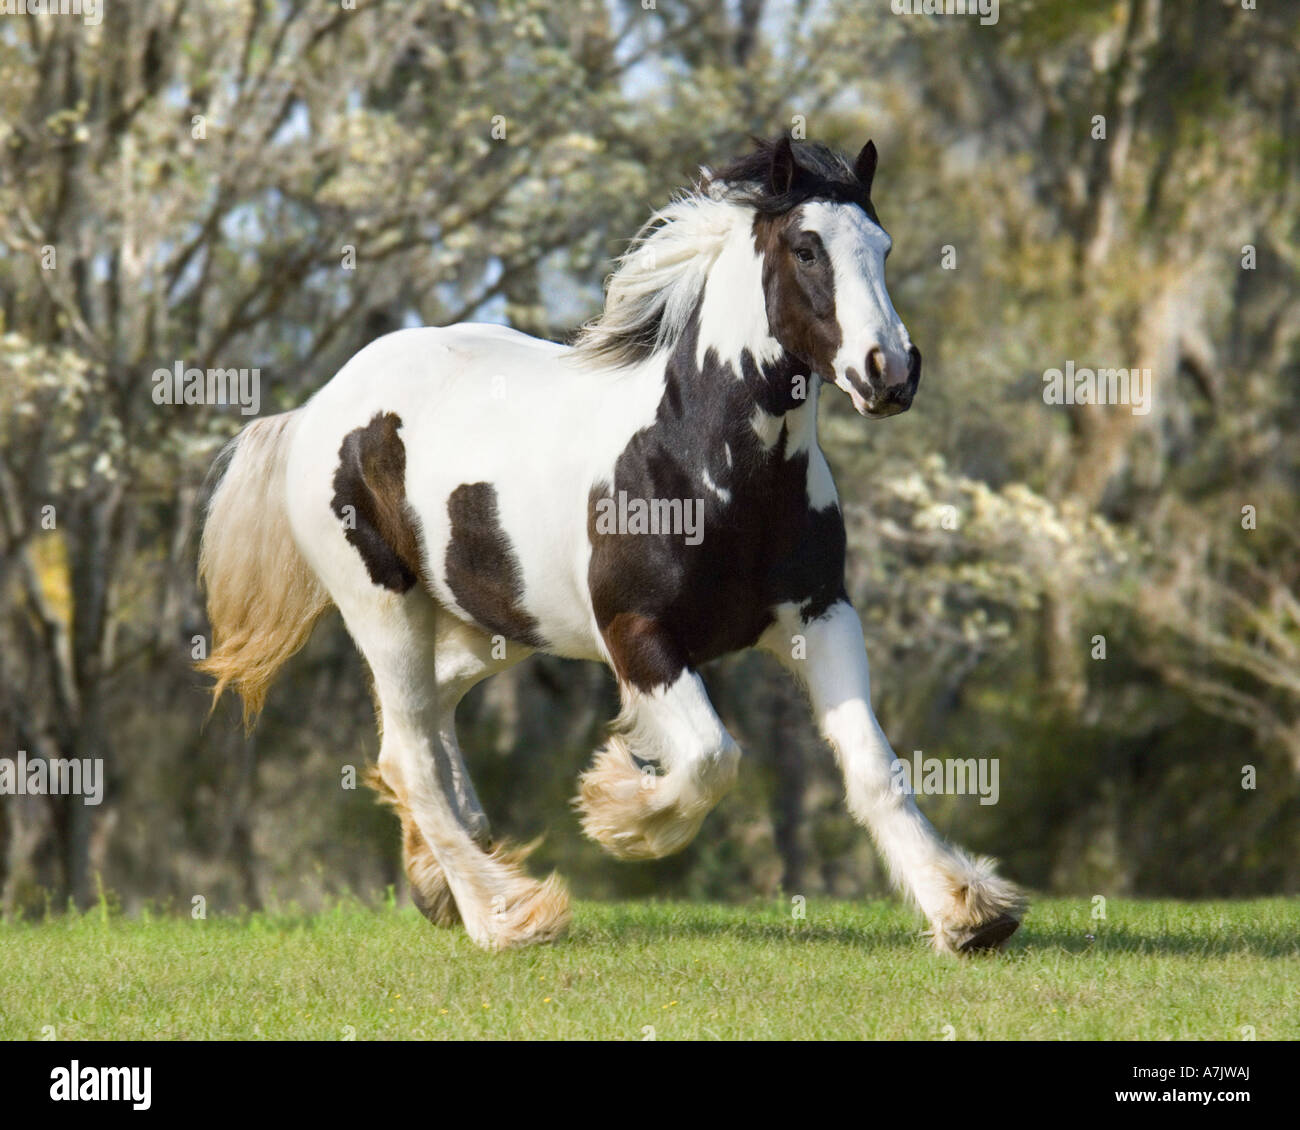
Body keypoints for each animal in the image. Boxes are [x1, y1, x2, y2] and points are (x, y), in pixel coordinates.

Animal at [197, 139, 1019, 951]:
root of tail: (316, 409)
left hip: (500, 625)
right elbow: (712, 758)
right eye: (807, 248)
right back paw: (504, 916)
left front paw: (969, 913)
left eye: (881, 245)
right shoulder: (638, 634)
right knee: (410, 756)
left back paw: (443, 881)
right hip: (383, 607)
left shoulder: (822, 615)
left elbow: (875, 767)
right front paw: (618, 815)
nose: (891, 371)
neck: (699, 462)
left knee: (428, 716)